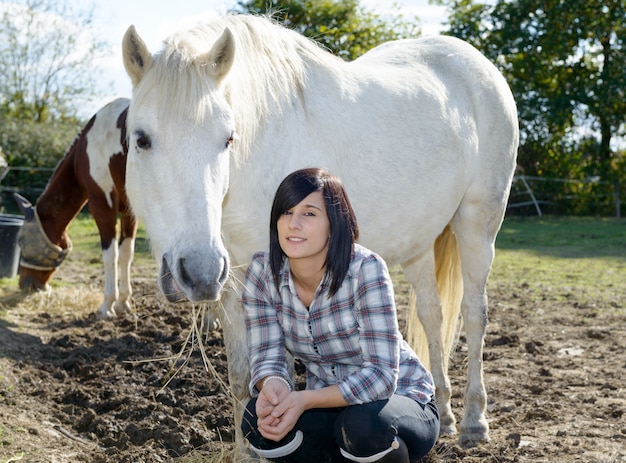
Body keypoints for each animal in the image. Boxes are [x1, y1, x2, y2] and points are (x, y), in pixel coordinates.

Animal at [14, 98, 136, 320]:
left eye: (22, 243)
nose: (25, 284)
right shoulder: (127, 210)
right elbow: (125, 253)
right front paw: (123, 303)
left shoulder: (101, 203)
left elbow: (110, 254)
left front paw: (107, 305)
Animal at [122, 14, 516, 460]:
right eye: (141, 139)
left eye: (228, 138)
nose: (200, 271)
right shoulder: (232, 285)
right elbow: (243, 378)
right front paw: (245, 451)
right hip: (419, 245)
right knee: (433, 317)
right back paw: (445, 415)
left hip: (478, 226)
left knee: (474, 314)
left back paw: (473, 421)